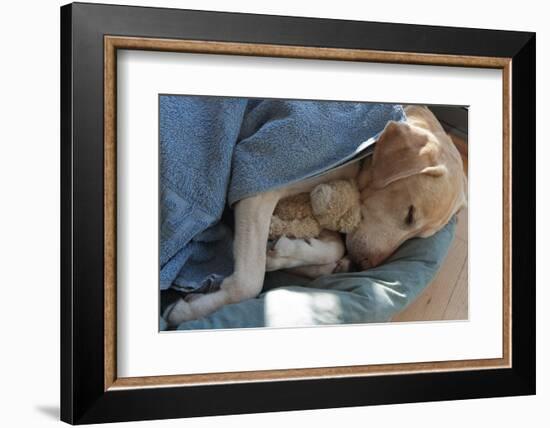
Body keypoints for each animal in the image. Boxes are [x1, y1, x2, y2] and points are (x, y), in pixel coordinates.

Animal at [167, 106, 466, 324]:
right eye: (410, 215)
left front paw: (287, 253)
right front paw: (189, 311)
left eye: (417, 235)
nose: (363, 267)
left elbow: (332, 248)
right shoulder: (258, 185)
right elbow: (249, 282)